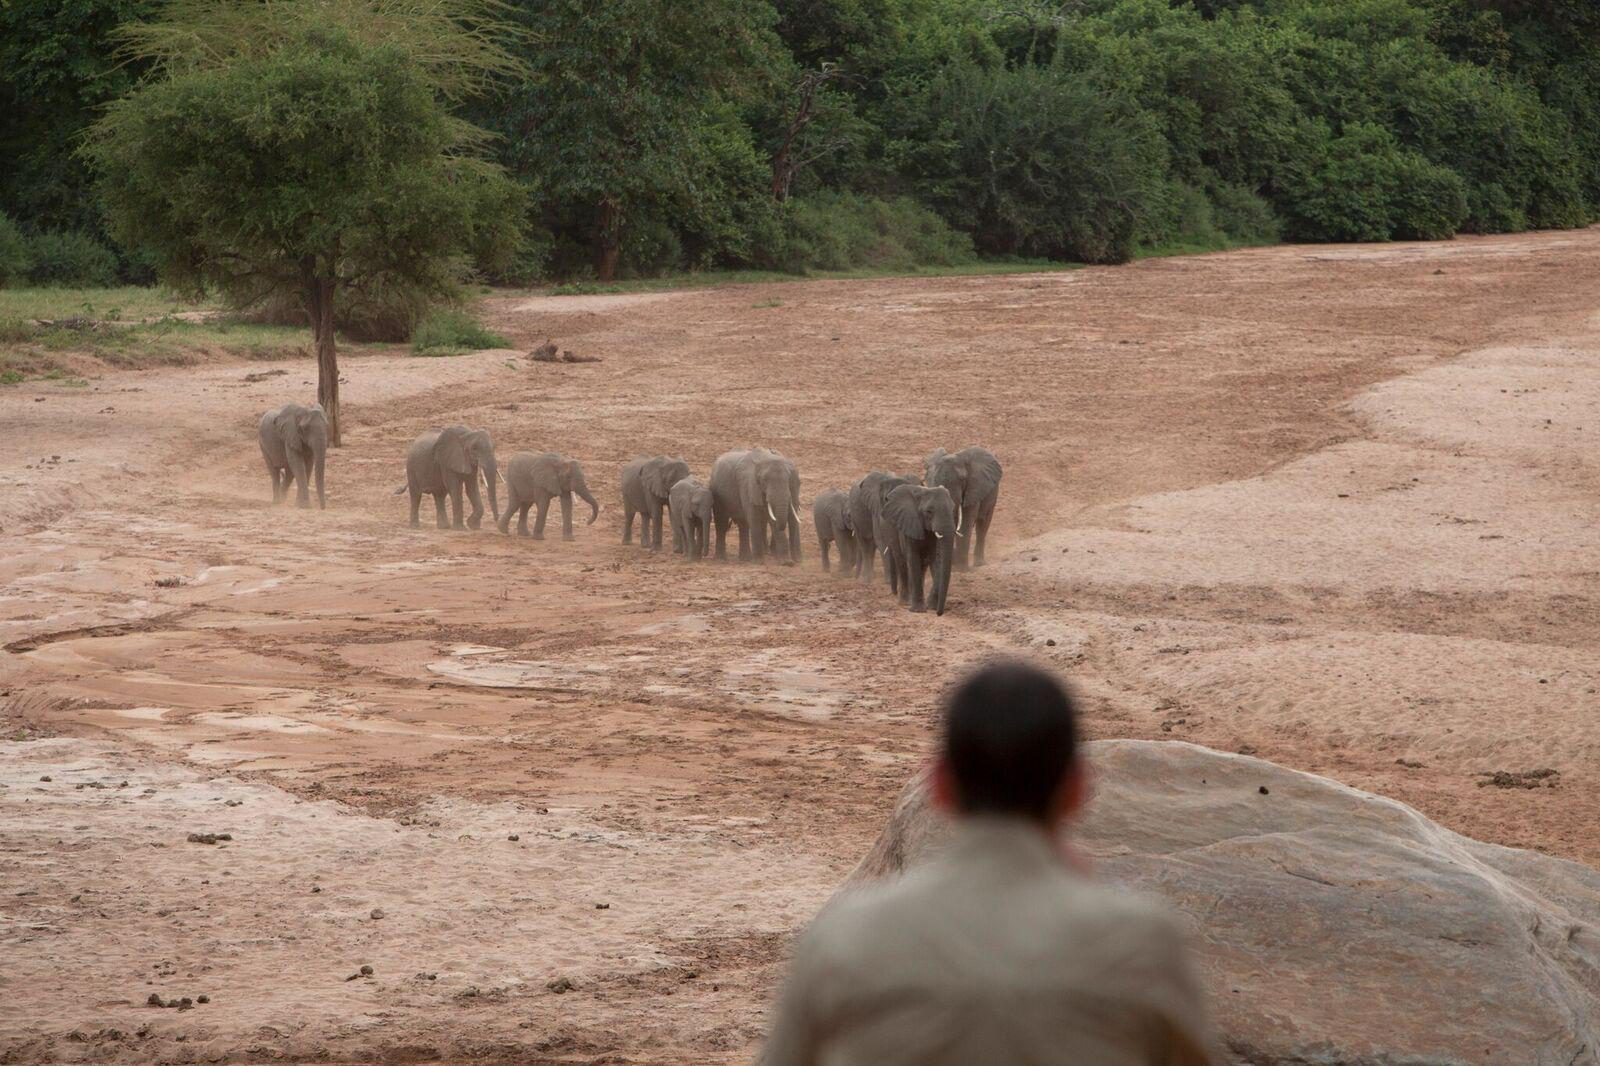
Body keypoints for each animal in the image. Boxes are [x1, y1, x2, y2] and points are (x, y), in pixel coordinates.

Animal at [883, 483, 953, 614]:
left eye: (953, 509)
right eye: (929, 512)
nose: (939, 613)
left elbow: (937, 560)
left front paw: (931, 606)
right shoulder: (909, 524)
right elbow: (913, 558)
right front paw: (918, 610)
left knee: (922, 566)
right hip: (891, 528)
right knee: (902, 563)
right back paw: (905, 602)